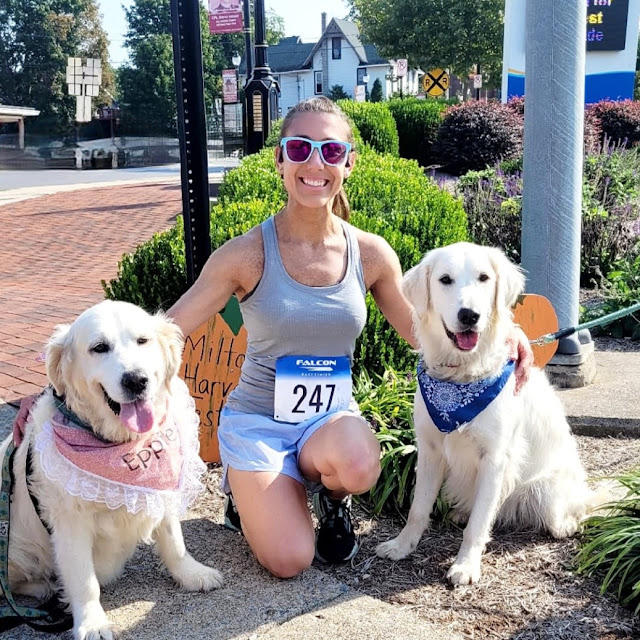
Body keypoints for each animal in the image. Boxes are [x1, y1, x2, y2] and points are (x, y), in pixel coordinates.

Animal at [1, 302, 222, 640]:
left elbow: (175, 542)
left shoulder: (160, 491)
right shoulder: (70, 522)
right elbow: (84, 581)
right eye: (99, 348)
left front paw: (192, 573)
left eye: (143, 340)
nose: (136, 380)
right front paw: (92, 623)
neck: (122, 444)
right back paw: (44, 588)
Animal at [378, 244, 596, 584]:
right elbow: (417, 509)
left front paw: (466, 566)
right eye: (445, 279)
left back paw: (566, 523)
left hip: (544, 487)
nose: (469, 315)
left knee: (571, 511)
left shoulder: (495, 458)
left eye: (484, 278)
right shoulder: (430, 449)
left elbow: (478, 525)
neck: (460, 378)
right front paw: (402, 546)